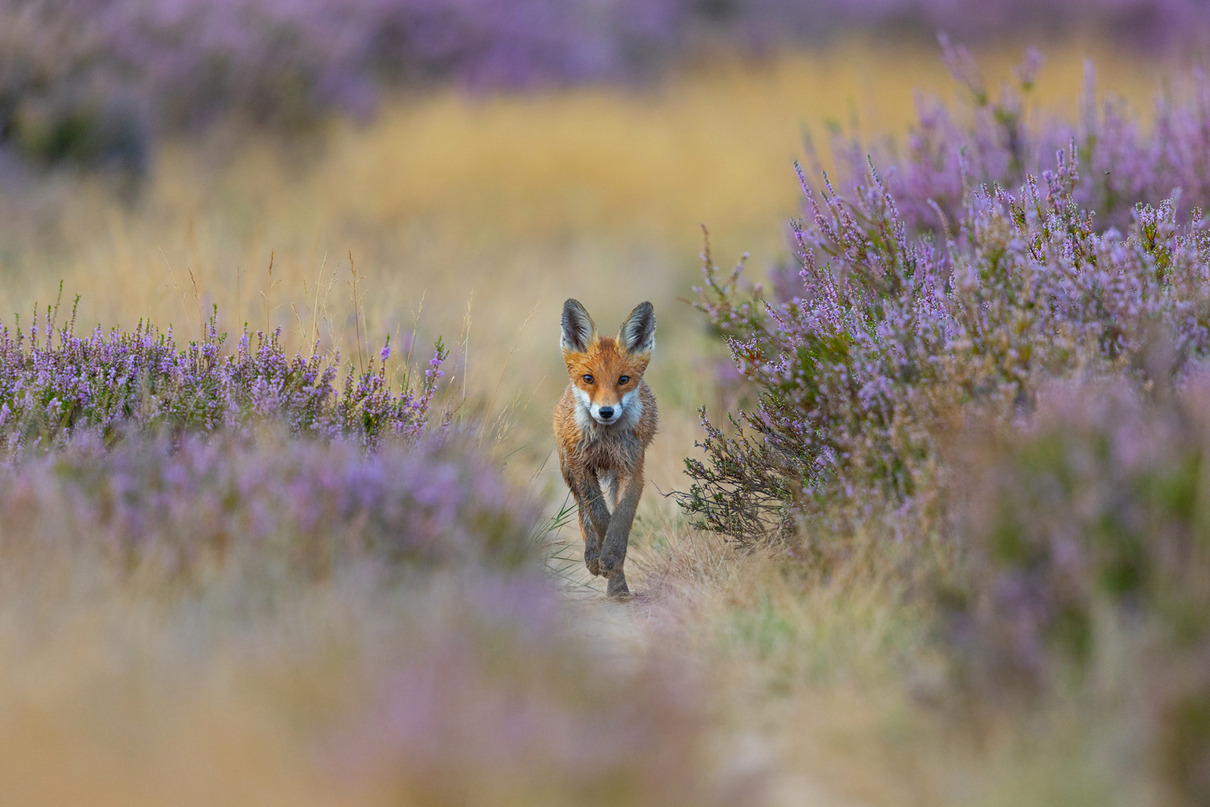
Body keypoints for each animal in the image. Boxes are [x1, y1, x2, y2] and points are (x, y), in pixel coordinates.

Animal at [553, 299, 658, 598]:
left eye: (623, 379)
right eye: (589, 378)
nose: (606, 411)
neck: (605, 443)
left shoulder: (632, 469)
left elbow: (620, 518)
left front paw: (613, 563)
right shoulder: (581, 467)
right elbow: (599, 517)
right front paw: (602, 557)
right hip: (568, 470)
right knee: (582, 513)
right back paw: (592, 555)